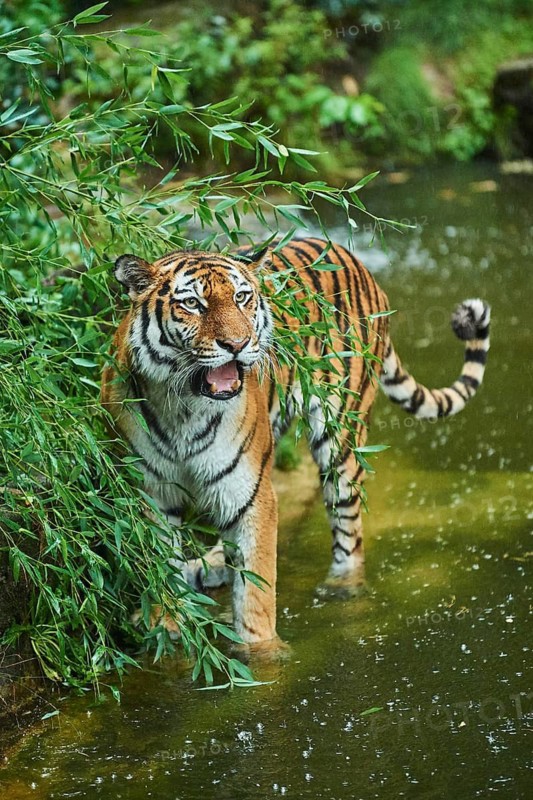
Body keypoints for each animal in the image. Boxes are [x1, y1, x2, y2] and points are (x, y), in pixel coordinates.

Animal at [101, 236, 490, 647]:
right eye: (192, 303)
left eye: (242, 297)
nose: (238, 344)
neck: (184, 409)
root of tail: (352, 258)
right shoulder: (152, 492)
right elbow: (159, 565)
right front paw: (165, 621)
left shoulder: (250, 492)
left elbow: (255, 595)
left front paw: (261, 652)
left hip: (341, 438)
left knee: (349, 531)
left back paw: (342, 586)